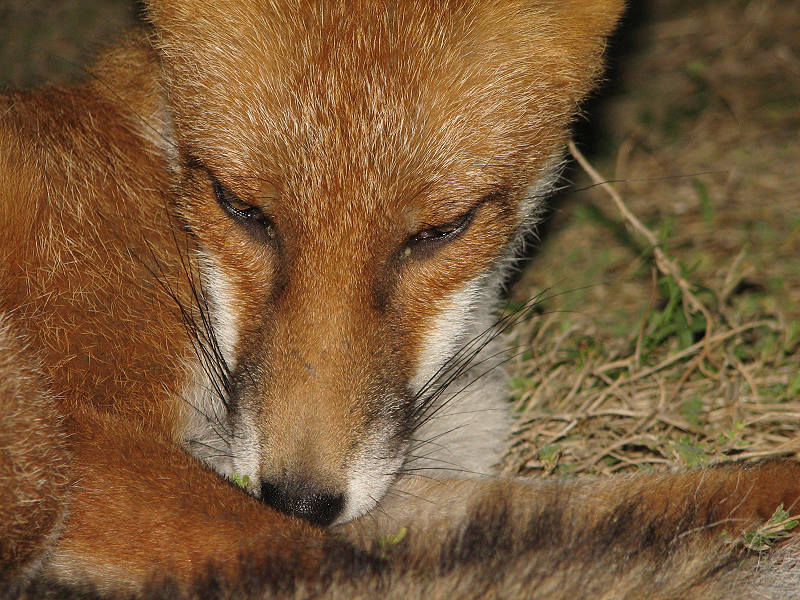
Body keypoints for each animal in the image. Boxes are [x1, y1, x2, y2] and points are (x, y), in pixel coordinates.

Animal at [4, 0, 800, 596]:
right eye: (239, 207)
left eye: (441, 231)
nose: (300, 496)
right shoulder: (98, 436)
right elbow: (337, 564)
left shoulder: (399, 491)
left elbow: (630, 505)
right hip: (40, 450)